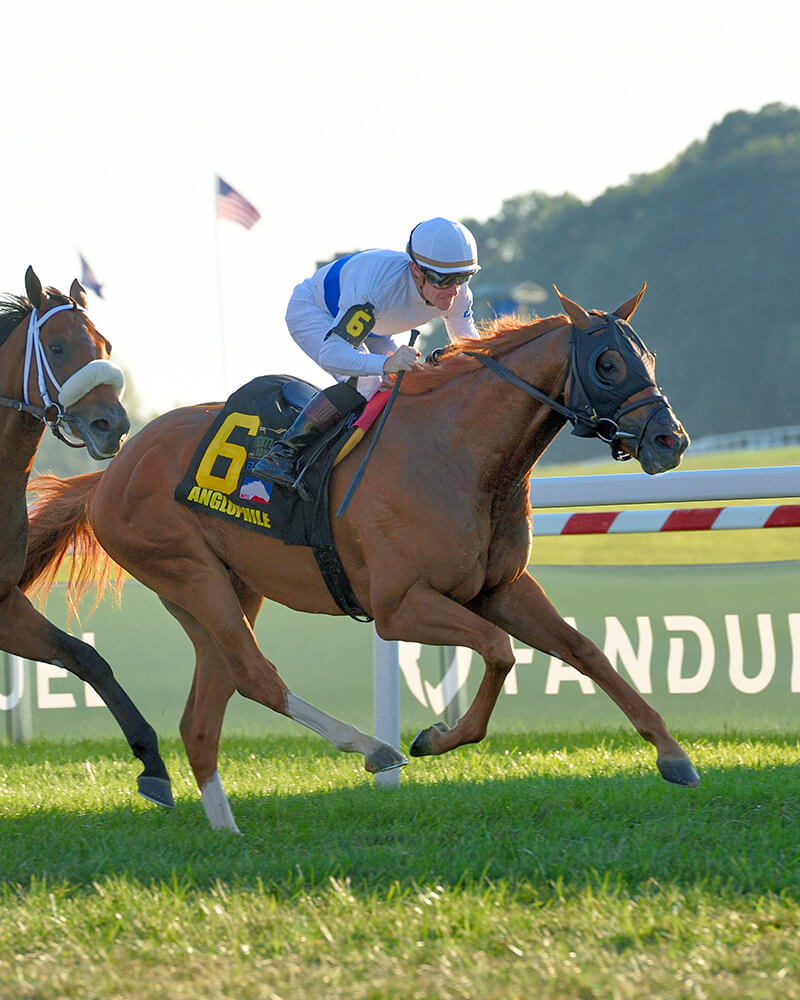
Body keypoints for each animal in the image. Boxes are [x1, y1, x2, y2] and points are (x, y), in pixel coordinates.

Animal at [1, 267, 173, 808]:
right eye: (56, 347)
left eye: (105, 345)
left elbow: (86, 657)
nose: (111, 425)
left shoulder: (3, 603)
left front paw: (153, 763)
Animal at [22, 284, 698, 832]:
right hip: (190, 573)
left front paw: (672, 753)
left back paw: (226, 828)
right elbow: (499, 651)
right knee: (256, 677)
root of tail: (111, 473)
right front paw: (436, 737)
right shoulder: (400, 607)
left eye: (648, 358)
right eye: (607, 363)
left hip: (226, 590)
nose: (671, 440)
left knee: (206, 710)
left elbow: (585, 650)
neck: (459, 453)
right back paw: (374, 749)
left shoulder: (501, 589)